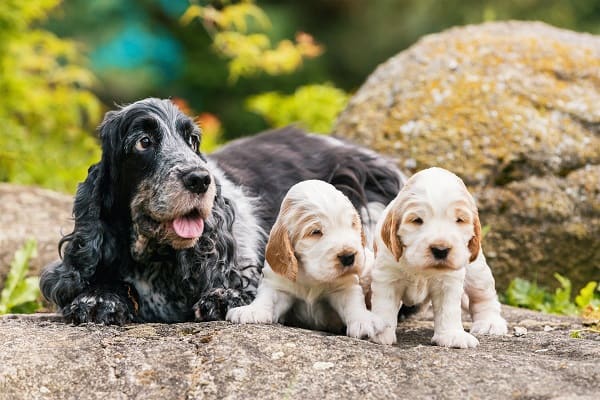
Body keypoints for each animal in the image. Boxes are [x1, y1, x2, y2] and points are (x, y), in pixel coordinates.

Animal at [227, 179, 386, 338]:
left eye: (352, 224)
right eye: (316, 232)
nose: (348, 256)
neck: (311, 277)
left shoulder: (344, 287)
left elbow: (353, 303)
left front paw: (364, 321)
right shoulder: (278, 285)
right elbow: (267, 297)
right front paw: (251, 310)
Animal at [370, 166, 506, 346]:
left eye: (459, 220)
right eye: (417, 220)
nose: (441, 249)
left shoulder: (448, 281)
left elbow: (448, 310)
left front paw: (453, 335)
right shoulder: (387, 276)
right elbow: (384, 306)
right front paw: (380, 332)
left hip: (477, 272)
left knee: (484, 297)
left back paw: (490, 323)